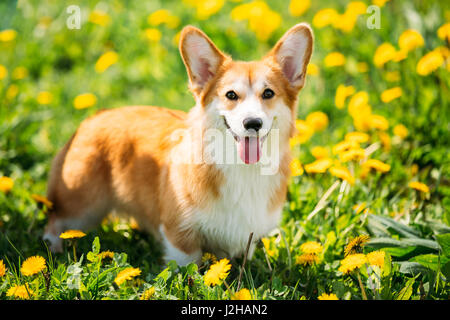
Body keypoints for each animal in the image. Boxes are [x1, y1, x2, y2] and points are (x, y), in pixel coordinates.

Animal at [43, 23, 312, 264]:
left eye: (268, 93)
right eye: (231, 95)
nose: (252, 123)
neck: (241, 169)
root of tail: (92, 119)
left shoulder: (247, 237)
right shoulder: (180, 233)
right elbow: (187, 266)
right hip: (81, 207)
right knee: (55, 221)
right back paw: (53, 249)